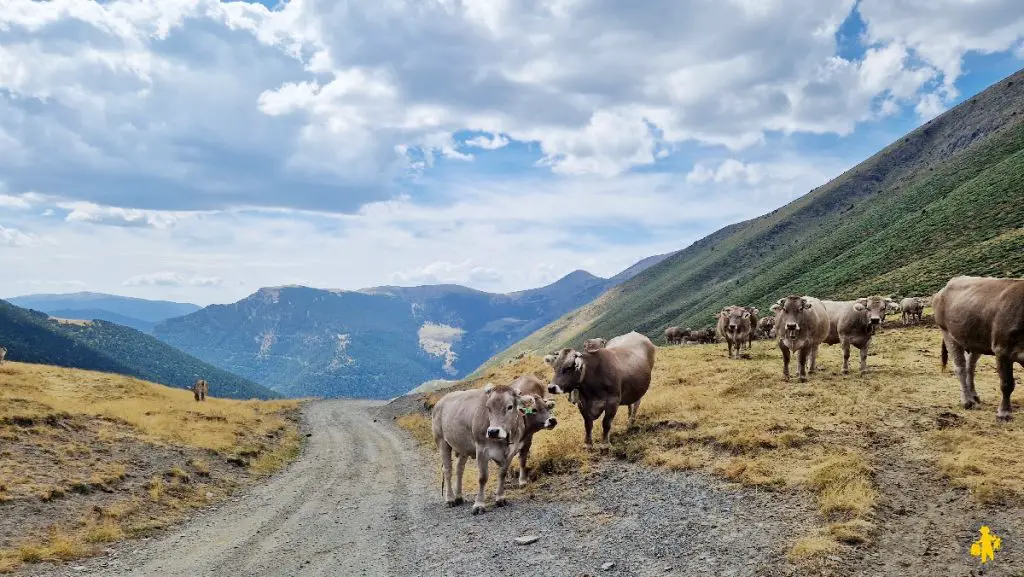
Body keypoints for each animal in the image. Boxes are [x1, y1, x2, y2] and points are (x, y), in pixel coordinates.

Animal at [430, 383, 548, 514]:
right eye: (488, 408)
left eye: (510, 407)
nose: (493, 431)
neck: (502, 441)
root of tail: (440, 402)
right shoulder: (481, 450)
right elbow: (482, 478)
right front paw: (479, 505)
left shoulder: (510, 452)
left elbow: (502, 474)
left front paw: (500, 498)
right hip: (442, 442)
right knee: (447, 470)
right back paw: (450, 499)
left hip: (463, 447)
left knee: (459, 469)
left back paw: (459, 496)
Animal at [937, 274, 1024, 420]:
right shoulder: (1002, 350)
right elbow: (1006, 384)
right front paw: (1004, 412)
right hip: (948, 333)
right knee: (960, 368)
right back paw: (967, 401)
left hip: (976, 341)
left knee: (970, 368)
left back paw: (973, 396)